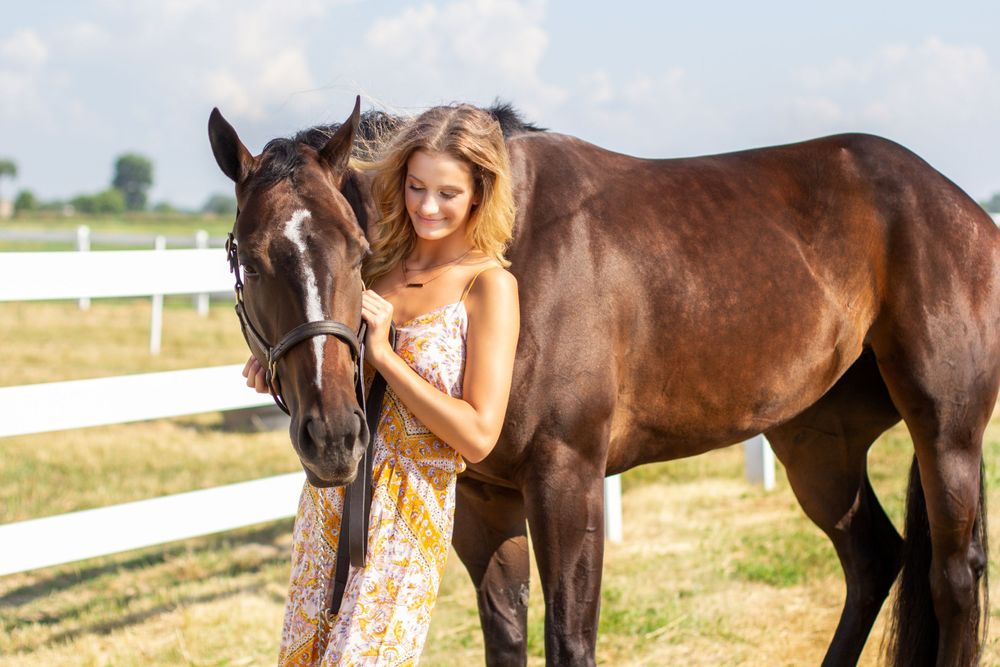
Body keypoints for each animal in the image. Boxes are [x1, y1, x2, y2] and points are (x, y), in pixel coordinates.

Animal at [208, 97, 997, 666]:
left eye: (354, 247)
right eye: (250, 256)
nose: (335, 436)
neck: (509, 247)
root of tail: (961, 208)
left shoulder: (568, 478)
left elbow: (570, 640)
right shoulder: (486, 500)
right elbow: (507, 635)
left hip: (945, 432)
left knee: (954, 577)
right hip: (816, 442)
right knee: (874, 558)